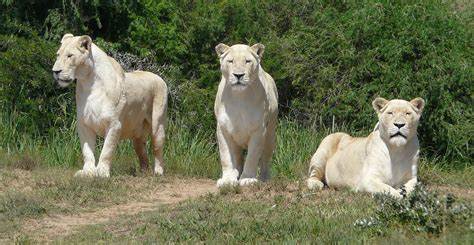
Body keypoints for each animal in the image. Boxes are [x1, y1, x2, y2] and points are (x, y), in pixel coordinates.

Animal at [52, 33, 168, 177]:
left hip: (157, 124)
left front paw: (101, 172)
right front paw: (88, 171)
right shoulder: (84, 124)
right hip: (137, 135)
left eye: (70, 55)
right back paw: (143, 172)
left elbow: (107, 149)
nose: (55, 71)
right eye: (58, 55)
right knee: (142, 152)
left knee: (158, 147)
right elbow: (87, 151)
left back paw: (158, 171)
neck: (89, 84)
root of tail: (159, 77)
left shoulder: (114, 124)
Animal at [214, 43, 278, 187]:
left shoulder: (259, 130)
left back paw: (264, 179)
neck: (239, 96)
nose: (239, 75)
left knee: (265, 158)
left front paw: (248, 179)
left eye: (247, 61)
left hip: (270, 135)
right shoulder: (223, 129)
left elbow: (252, 156)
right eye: (230, 61)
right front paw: (227, 180)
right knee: (237, 158)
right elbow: (225, 155)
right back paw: (235, 174)